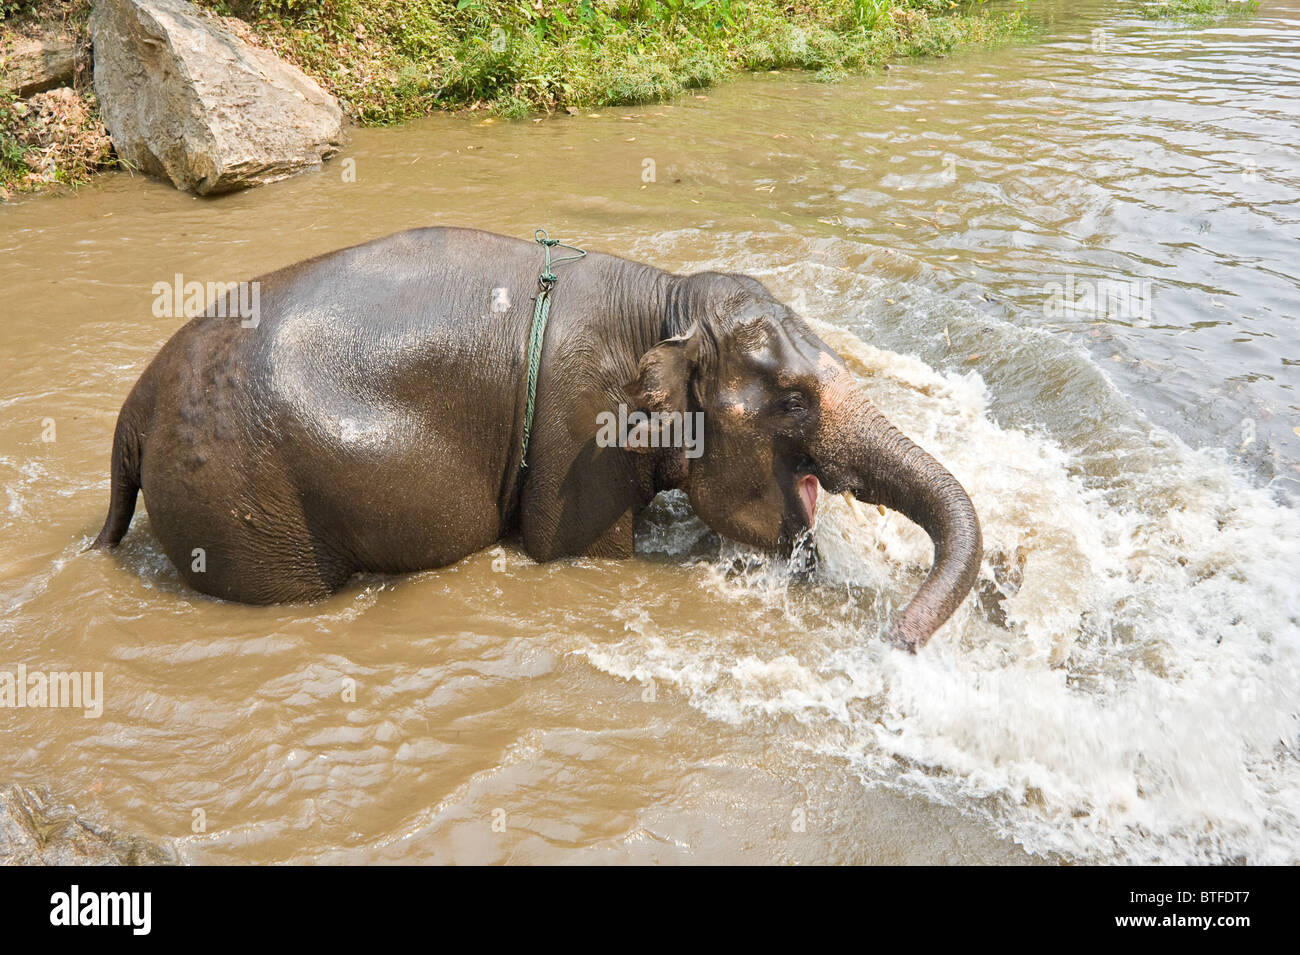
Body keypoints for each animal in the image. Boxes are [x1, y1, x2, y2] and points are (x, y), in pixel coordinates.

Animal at [91, 227, 977, 649]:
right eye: (792, 402)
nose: (896, 638)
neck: (662, 299)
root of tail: (133, 408)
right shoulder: (576, 428)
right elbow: (578, 548)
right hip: (245, 504)